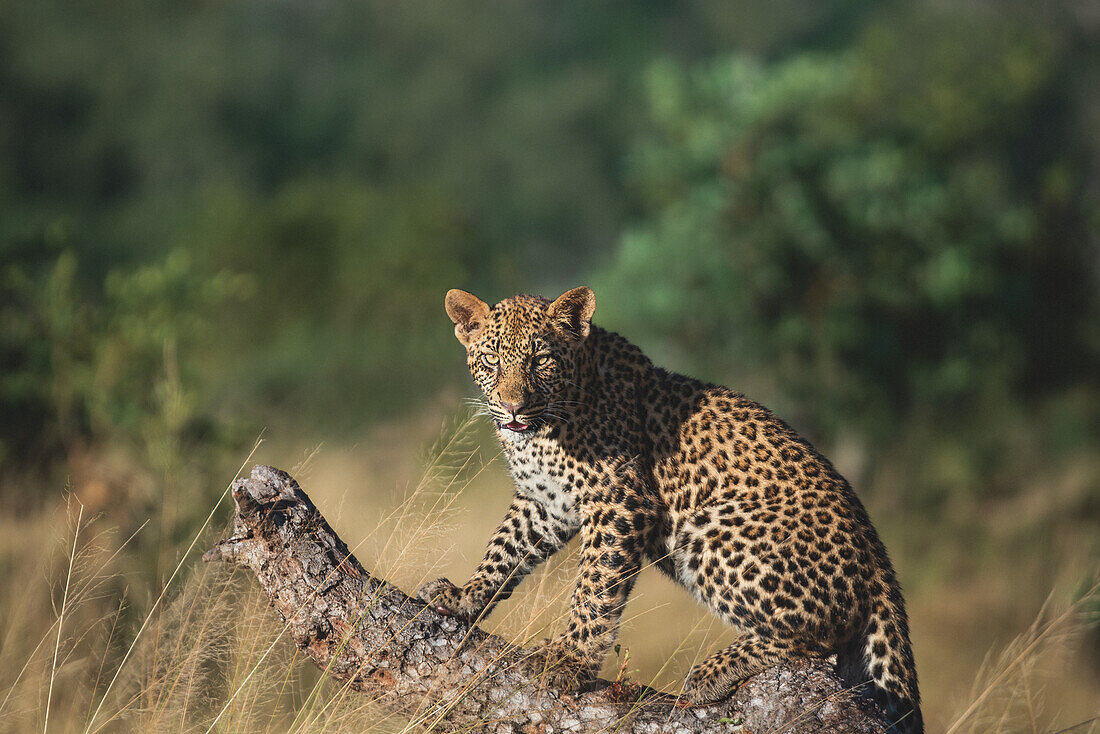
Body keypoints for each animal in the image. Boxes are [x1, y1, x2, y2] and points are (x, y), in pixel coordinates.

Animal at [415, 286, 924, 734]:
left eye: (541, 360)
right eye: (491, 360)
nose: (514, 407)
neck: (542, 432)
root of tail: (877, 555)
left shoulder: (619, 502)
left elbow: (594, 590)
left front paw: (569, 660)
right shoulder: (545, 504)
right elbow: (503, 550)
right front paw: (463, 596)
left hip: (712, 528)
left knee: (817, 640)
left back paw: (711, 673)